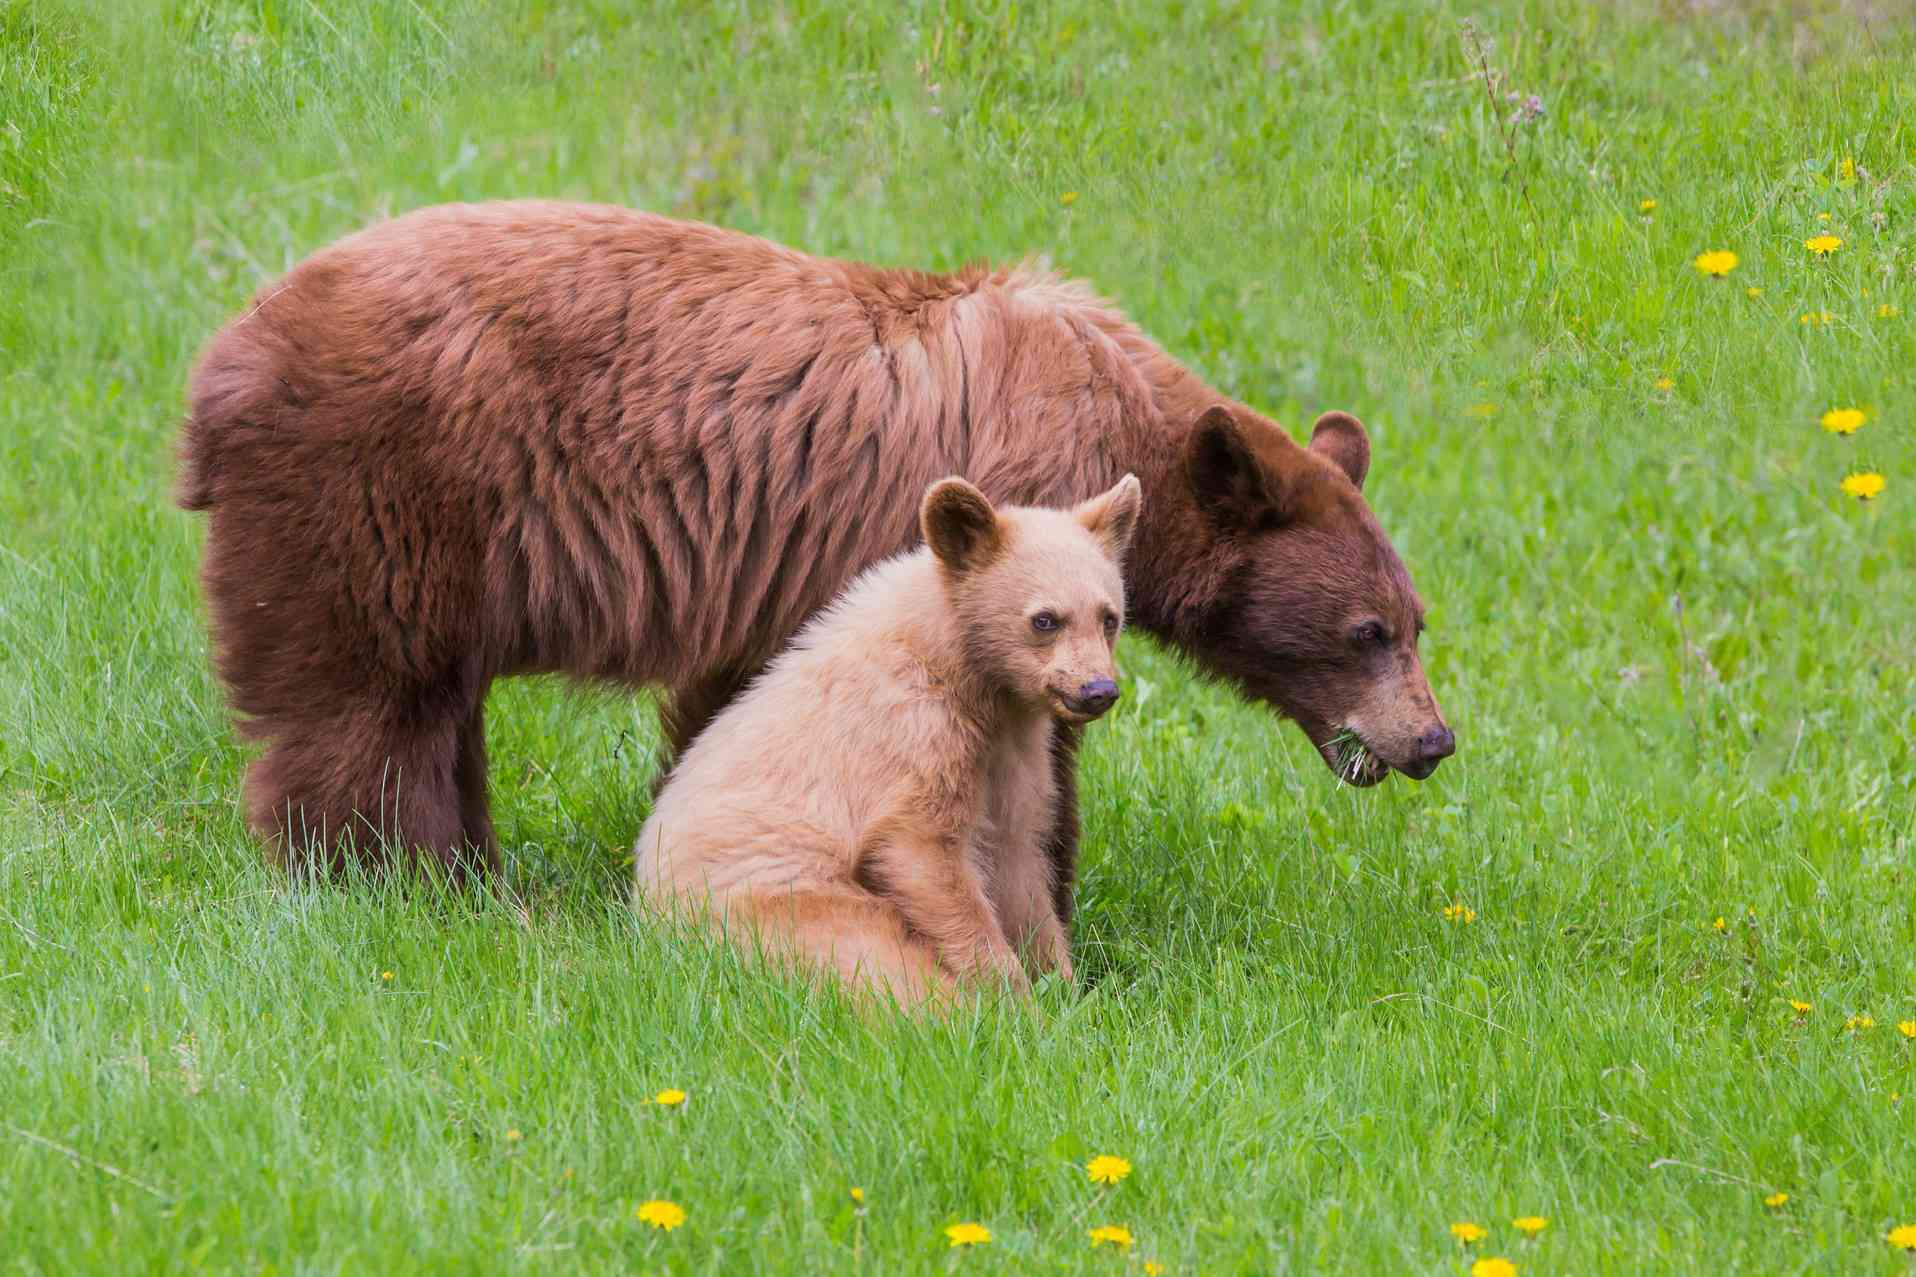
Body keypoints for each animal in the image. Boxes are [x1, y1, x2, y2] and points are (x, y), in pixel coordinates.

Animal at [176, 201, 1448, 885]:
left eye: (1416, 620)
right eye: (1365, 629)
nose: (1432, 740)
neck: (1120, 426)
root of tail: (224, 361)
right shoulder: (973, 533)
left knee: (431, 705)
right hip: (384, 486)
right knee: (367, 699)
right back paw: (401, 883)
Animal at [636, 471, 1134, 997]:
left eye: (1109, 617)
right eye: (1045, 619)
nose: (1098, 690)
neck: (955, 663)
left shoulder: (1012, 751)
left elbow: (1019, 859)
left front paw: (1064, 985)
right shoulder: (914, 731)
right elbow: (921, 850)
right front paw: (1007, 993)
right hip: (779, 900)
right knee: (874, 958)